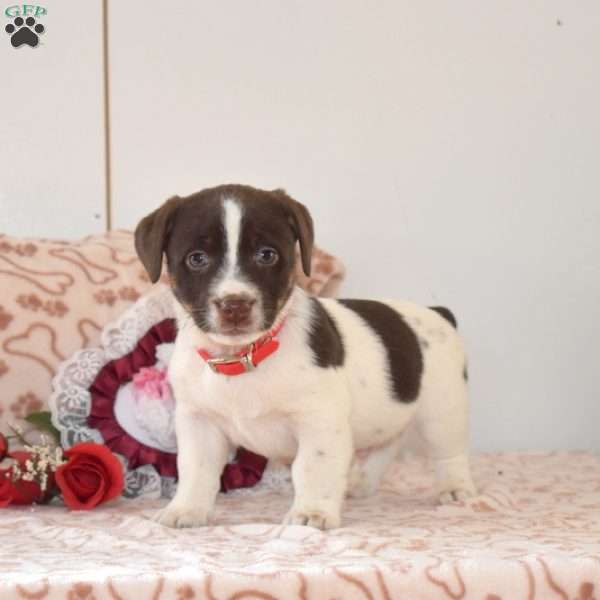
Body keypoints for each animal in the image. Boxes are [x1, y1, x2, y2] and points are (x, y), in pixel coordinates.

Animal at [134, 184, 476, 528]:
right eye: (197, 259)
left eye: (267, 255)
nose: (235, 305)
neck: (244, 358)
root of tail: (437, 312)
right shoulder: (199, 422)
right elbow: (196, 469)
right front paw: (187, 509)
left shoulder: (319, 422)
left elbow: (313, 468)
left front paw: (312, 512)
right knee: (386, 446)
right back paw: (360, 483)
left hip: (441, 411)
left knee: (450, 453)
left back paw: (454, 488)